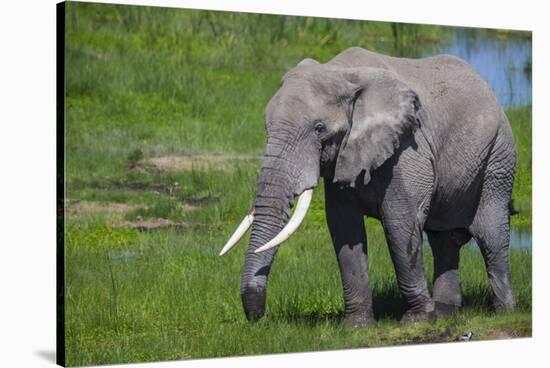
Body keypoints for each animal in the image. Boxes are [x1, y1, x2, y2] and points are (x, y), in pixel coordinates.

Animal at [219, 46, 516, 328]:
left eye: (319, 128)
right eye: (266, 127)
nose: (259, 318)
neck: (341, 72)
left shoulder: (407, 149)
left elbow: (401, 223)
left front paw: (417, 320)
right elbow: (344, 227)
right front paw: (357, 327)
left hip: (498, 158)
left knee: (491, 235)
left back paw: (503, 313)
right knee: (443, 240)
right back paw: (445, 314)